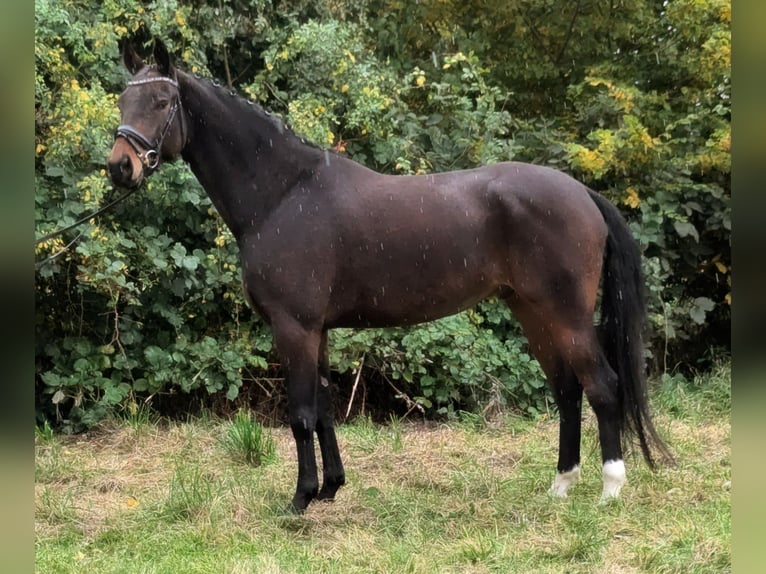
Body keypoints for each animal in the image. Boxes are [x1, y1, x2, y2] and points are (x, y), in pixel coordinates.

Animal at [108, 40, 672, 516]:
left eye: (162, 101)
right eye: (121, 101)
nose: (120, 168)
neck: (283, 193)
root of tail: (583, 194)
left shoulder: (293, 328)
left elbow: (301, 414)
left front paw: (300, 500)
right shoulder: (318, 331)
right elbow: (325, 408)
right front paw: (331, 489)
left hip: (565, 314)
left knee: (602, 386)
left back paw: (609, 490)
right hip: (532, 312)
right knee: (567, 391)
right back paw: (560, 485)